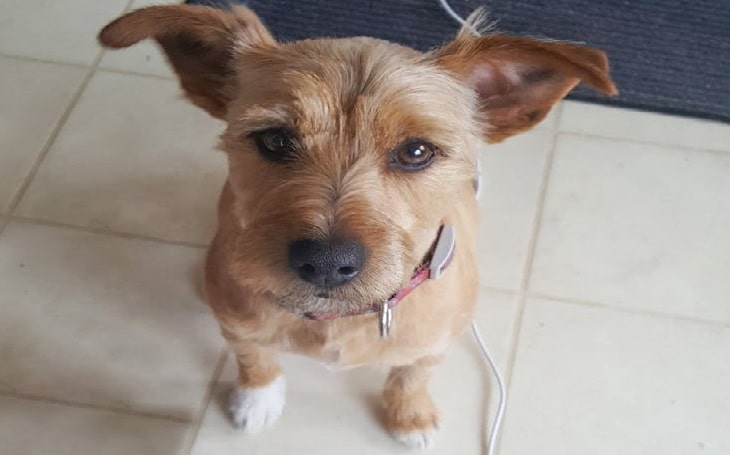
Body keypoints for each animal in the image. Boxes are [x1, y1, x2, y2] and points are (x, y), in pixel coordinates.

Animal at [98, 3, 616, 450]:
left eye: (416, 151)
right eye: (274, 139)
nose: (325, 263)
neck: (338, 317)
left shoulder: (434, 346)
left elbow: (412, 376)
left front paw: (411, 417)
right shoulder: (237, 326)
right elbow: (253, 356)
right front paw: (257, 398)